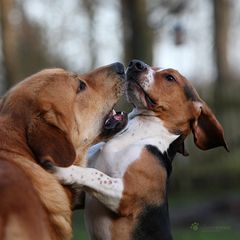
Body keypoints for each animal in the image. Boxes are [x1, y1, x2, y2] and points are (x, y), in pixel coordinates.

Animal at [52, 60, 227, 240]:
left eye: (170, 77)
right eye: (154, 67)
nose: (135, 63)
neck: (136, 133)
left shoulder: (126, 194)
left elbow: (94, 174)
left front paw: (62, 170)